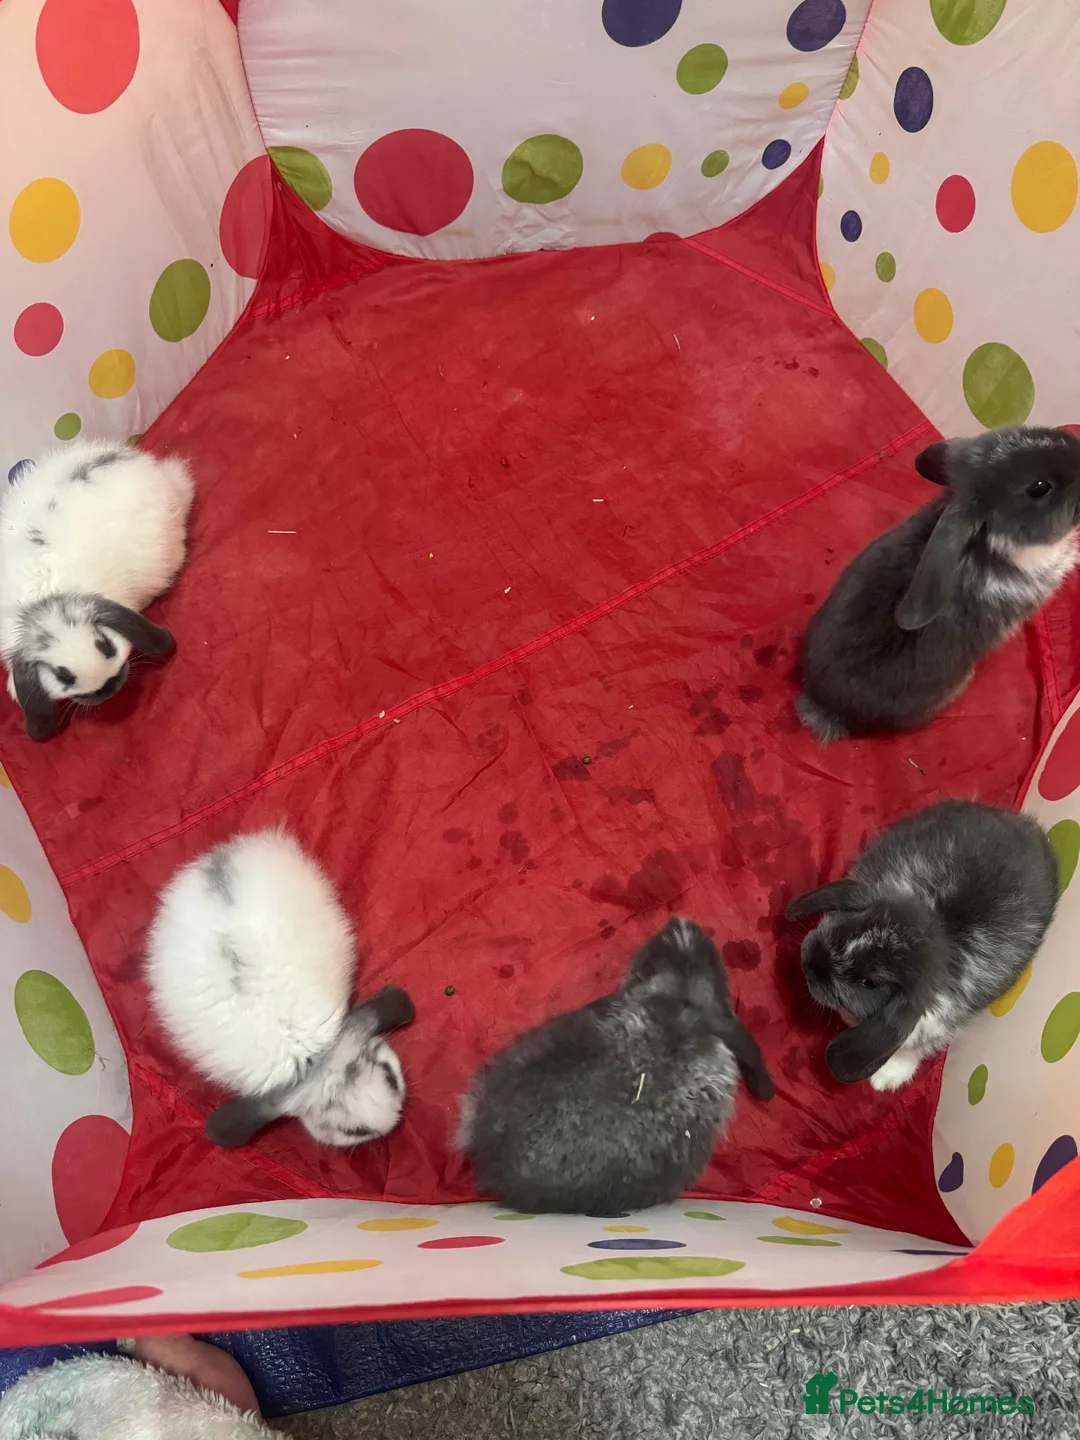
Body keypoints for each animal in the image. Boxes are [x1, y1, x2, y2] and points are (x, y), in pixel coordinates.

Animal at [786, 799, 1057, 1091]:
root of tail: (1029, 826)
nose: (809, 963)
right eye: (857, 921)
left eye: (869, 983)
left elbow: (911, 1049)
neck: (939, 934)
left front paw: (884, 1079)